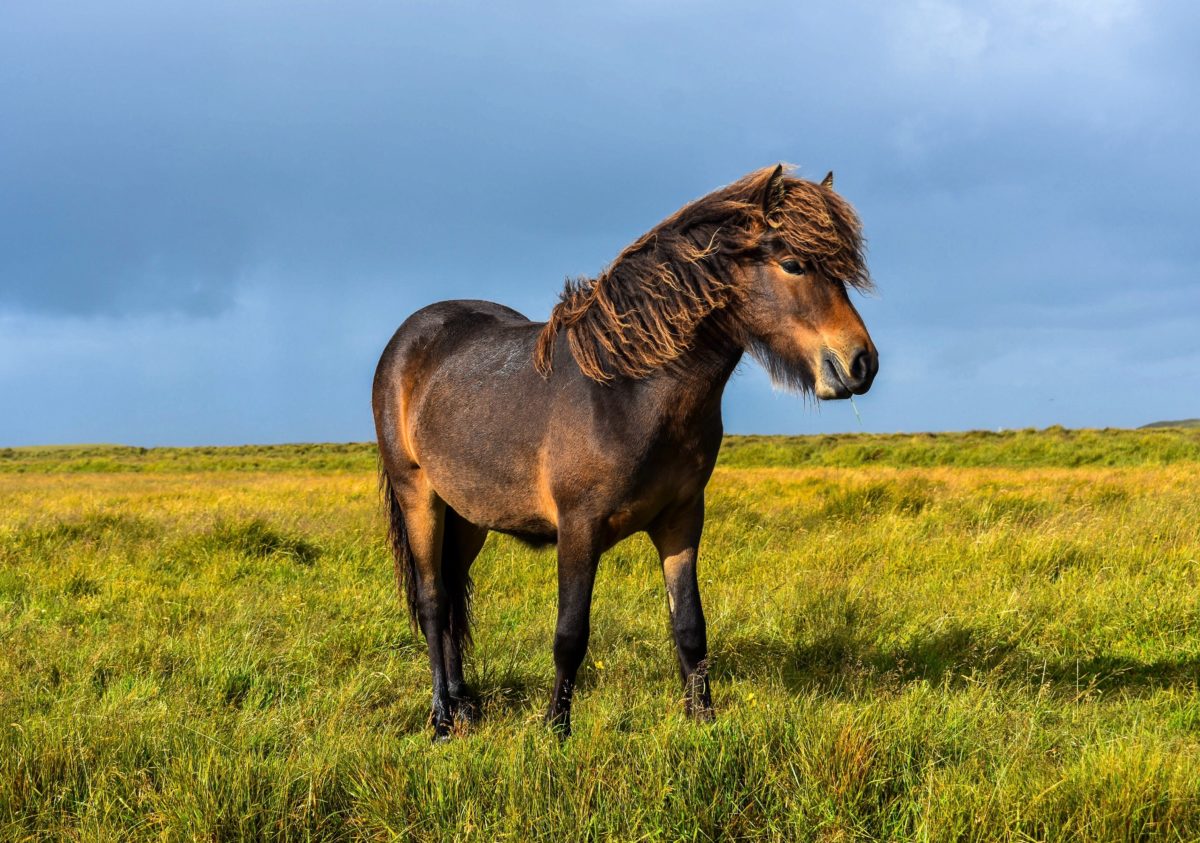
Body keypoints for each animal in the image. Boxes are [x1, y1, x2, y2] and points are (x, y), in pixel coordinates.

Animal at [369, 163, 878, 739]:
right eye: (793, 264)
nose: (862, 363)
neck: (629, 391)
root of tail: (408, 339)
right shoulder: (578, 528)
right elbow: (570, 634)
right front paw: (556, 729)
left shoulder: (682, 521)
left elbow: (690, 626)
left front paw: (703, 721)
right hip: (419, 495)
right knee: (434, 600)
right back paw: (440, 718)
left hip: (469, 514)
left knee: (455, 593)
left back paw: (464, 706)